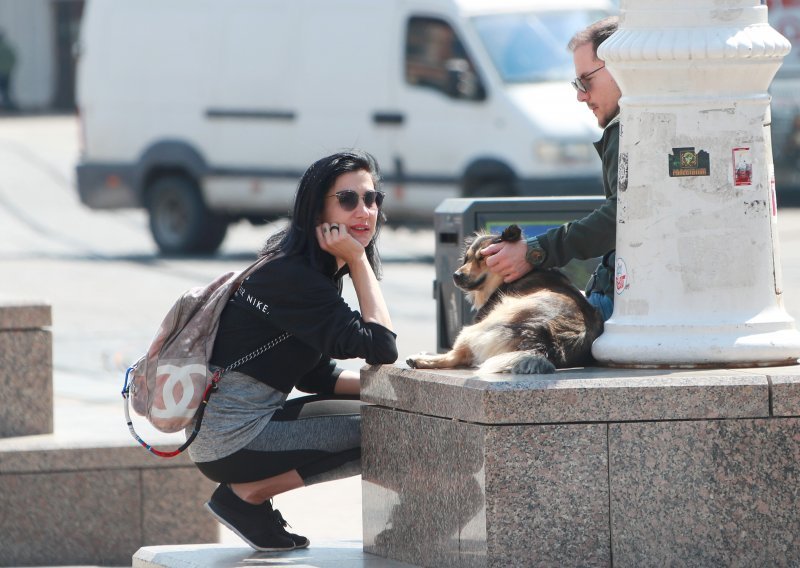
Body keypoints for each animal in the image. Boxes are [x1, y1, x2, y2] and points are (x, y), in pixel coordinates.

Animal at [410, 224, 604, 374]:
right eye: (467, 258)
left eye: (483, 258)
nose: (456, 275)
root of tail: (542, 345)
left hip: (476, 328)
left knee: (454, 356)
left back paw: (419, 359)